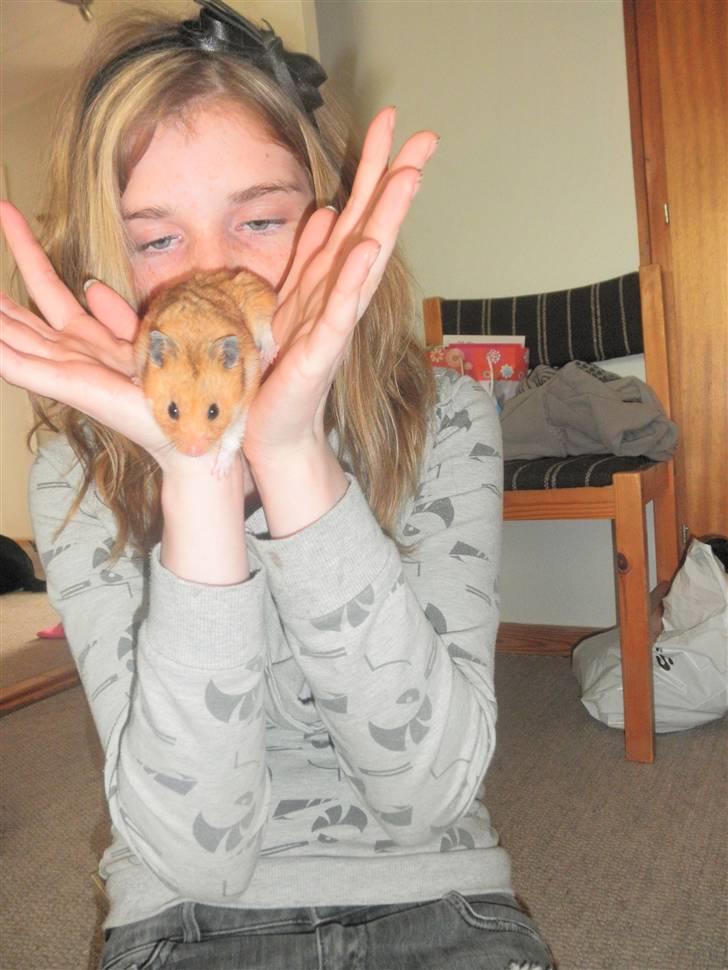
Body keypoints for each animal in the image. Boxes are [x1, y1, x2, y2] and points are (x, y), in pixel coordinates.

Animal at [134, 268, 277, 476]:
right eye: (172, 410)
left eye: (214, 412)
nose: (194, 453)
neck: (195, 342)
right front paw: (136, 379)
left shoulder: (243, 402)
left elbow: (232, 437)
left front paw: (219, 472)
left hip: (258, 299)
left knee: (265, 330)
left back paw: (270, 354)